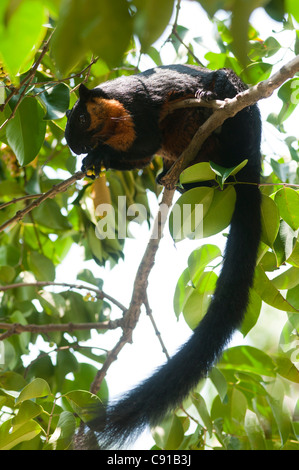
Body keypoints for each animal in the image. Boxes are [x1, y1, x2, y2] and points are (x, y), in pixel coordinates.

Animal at [65, 65, 262, 448]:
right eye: (68, 124)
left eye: (81, 117)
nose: (76, 145)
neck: (111, 120)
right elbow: (141, 156)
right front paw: (93, 161)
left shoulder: (139, 109)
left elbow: (146, 141)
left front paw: (99, 156)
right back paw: (169, 177)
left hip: (242, 122)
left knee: (228, 101)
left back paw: (212, 96)